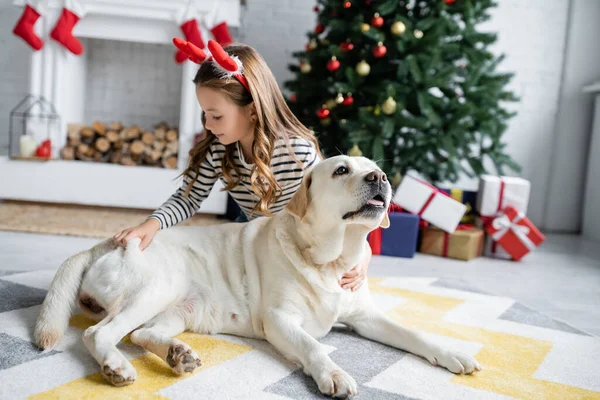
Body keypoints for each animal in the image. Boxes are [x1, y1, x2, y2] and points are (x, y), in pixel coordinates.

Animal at [36, 155, 478, 396]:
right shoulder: (281, 320)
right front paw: (333, 374)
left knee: (142, 334)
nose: (380, 179)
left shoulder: (366, 316)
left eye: (377, 170)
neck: (332, 261)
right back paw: (117, 367)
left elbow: (413, 334)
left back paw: (177, 354)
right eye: (341, 170)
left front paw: (452, 352)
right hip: (157, 287)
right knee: (101, 334)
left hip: (179, 308)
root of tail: (103, 244)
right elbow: (315, 347)